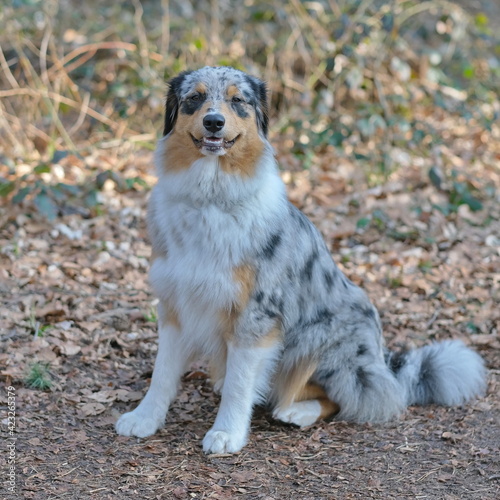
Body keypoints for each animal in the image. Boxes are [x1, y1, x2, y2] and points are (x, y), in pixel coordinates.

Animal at [115, 65, 486, 454]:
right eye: (195, 98)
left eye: (237, 100)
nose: (214, 122)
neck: (210, 200)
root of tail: (384, 362)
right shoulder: (174, 303)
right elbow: (162, 372)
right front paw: (145, 418)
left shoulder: (256, 317)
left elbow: (239, 384)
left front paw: (227, 433)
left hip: (323, 339)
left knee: (352, 398)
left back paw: (298, 411)